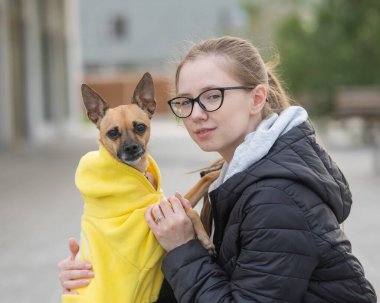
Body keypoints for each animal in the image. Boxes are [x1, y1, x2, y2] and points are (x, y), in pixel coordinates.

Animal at [62, 73, 217, 303]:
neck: (137, 172)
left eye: (140, 127)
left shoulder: (165, 203)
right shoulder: (153, 215)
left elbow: (197, 189)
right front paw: (205, 240)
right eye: (112, 133)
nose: (131, 148)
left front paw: (216, 170)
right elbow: (188, 209)